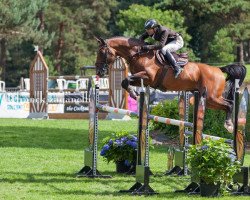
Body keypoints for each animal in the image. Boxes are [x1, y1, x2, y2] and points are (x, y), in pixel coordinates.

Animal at [94, 36, 246, 133]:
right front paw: (134, 93)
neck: (139, 54)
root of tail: (218, 69)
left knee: (229, 104)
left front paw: (134, 94)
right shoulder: (142, 79)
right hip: (208, 100)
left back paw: (229, 125)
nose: (99, 71)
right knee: (226, 104)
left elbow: (126, 80)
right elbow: (125, 82)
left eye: (102, 52)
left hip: (211, 97)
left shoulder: (147, 77)